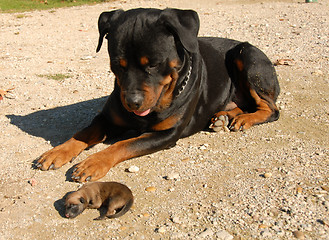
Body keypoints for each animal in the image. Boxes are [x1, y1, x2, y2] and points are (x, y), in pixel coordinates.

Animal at [37, 7, 280, 182]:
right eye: (117, 64)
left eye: (153, 64)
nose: (132, 102)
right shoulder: (107, 117)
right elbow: (85, 132)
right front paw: (58, 152)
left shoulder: (166, 134)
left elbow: (125, 144)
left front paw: (93, 163)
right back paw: (224, 117)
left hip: (247, 56)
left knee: (272, 109)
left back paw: (245, 119)